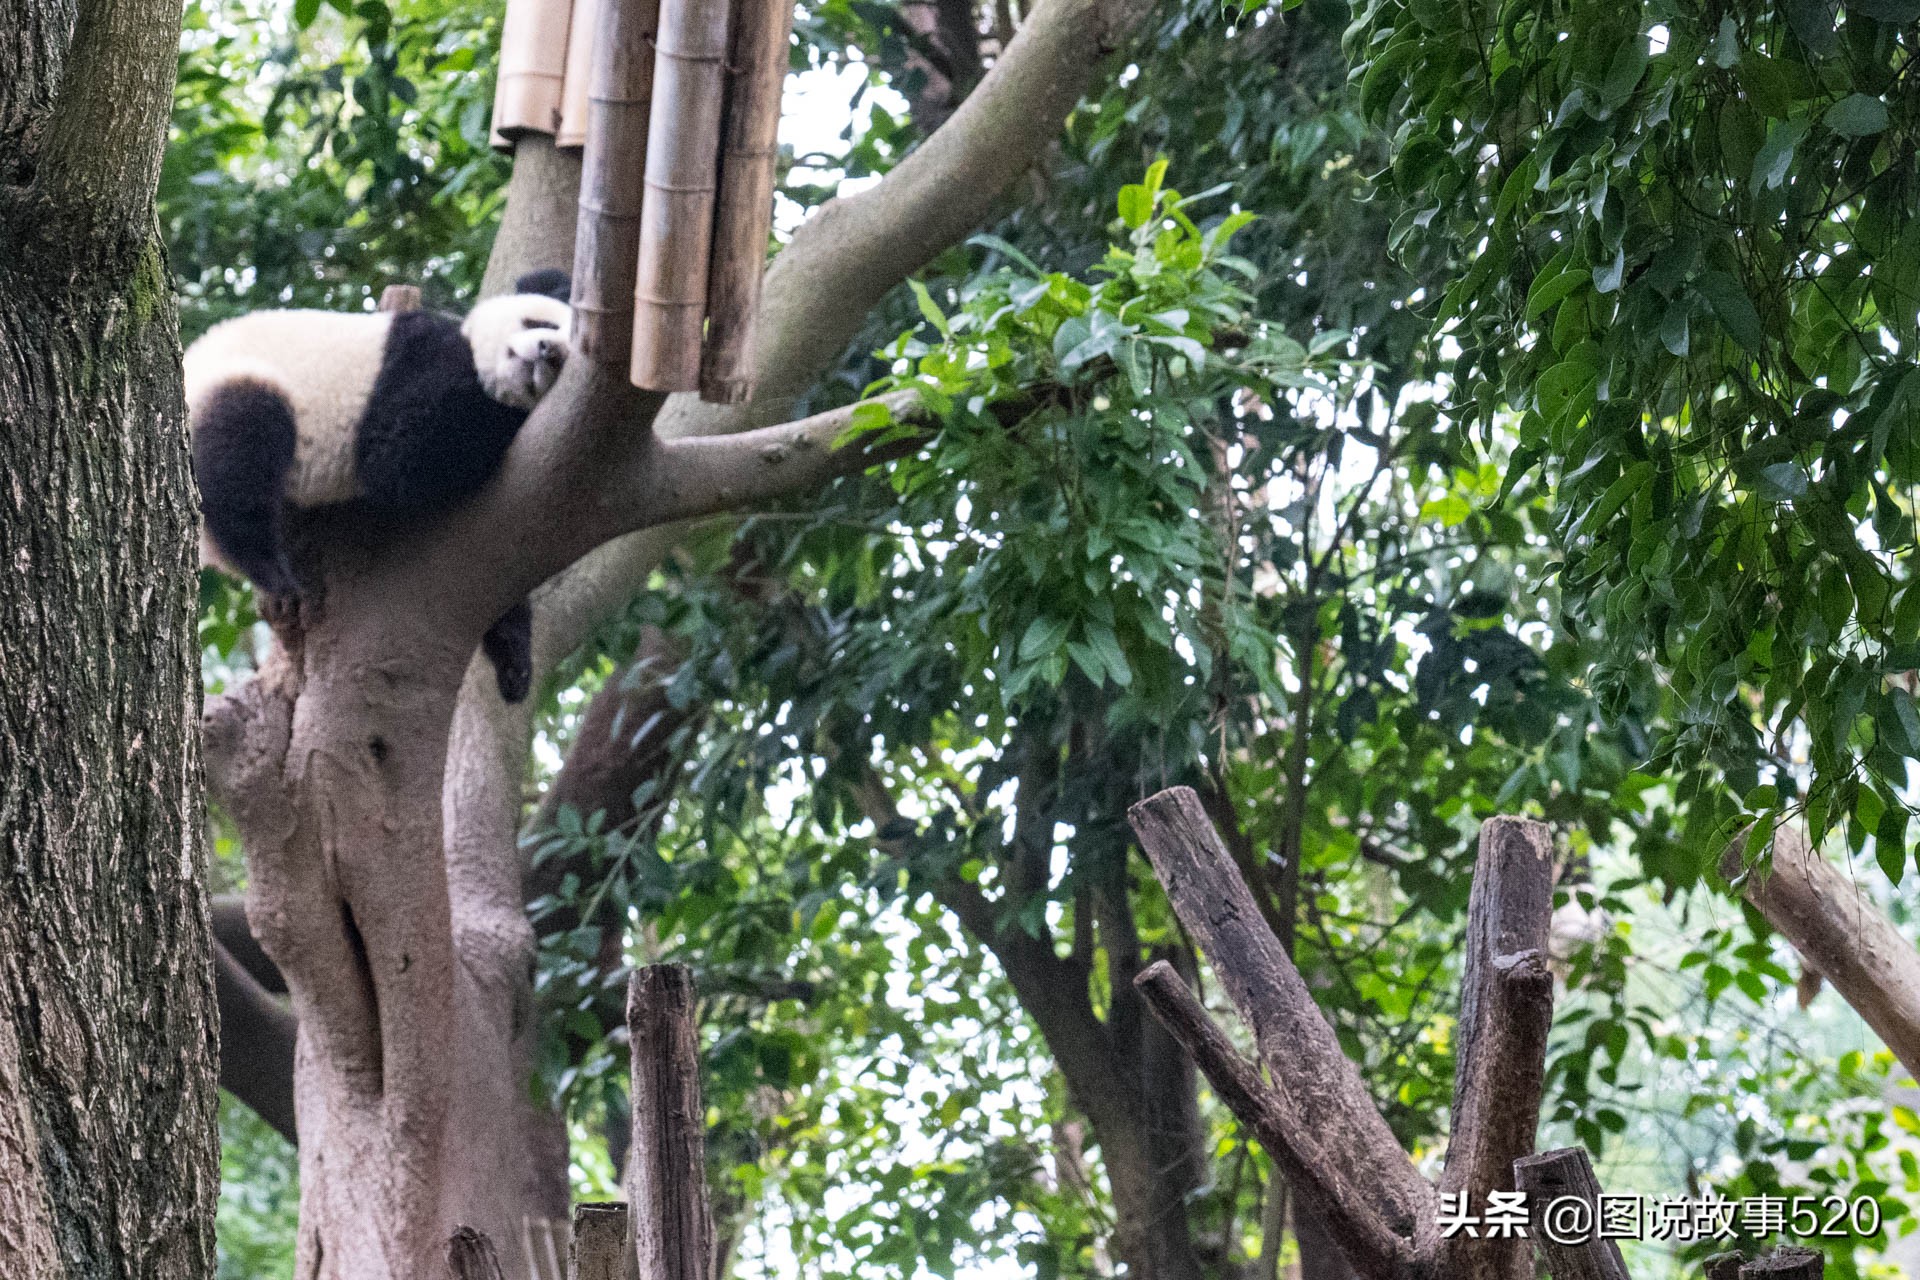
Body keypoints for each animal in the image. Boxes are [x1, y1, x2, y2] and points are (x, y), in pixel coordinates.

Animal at [186, 270, 568, 706]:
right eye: (540, 322)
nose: (546, 351)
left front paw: (514, 663)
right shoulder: (415, 358)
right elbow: (399, 450)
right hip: (234, 384)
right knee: (242, 444)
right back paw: (271, 570)